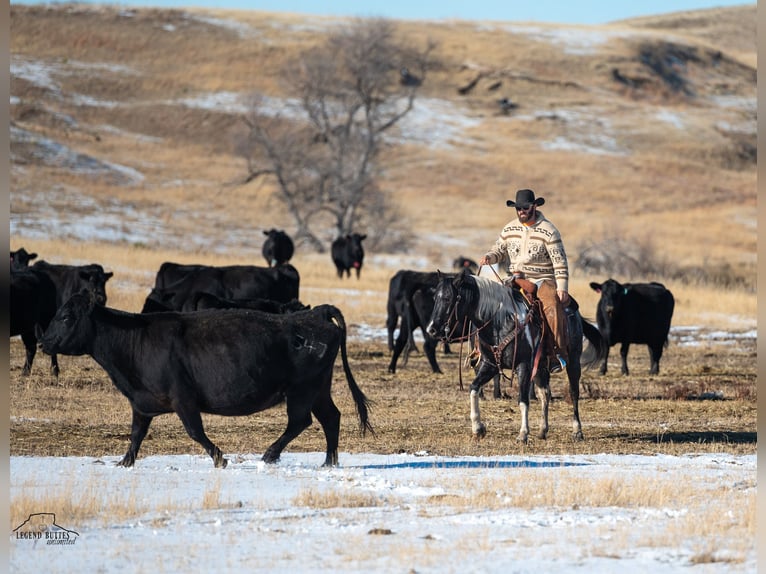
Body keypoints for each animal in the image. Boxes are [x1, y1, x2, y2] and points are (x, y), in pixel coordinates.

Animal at [39, 294, 376, 470]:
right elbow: (136, 435)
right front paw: (124, 462)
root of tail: (316, 313)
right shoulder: (142, 403)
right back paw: (329, 462)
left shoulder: (183, 399)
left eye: (66, 317)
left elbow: (194, 431)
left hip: (302, 390)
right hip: (318, 389)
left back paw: (270, 455)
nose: (43, 342)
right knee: (331, 418)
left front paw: (220, 458)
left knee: (301, 421)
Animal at [426, 272, 608, 444]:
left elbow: (523, 400)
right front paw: (478, 428)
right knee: (545, 393)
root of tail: (574, 311)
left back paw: (577, 431)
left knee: (573, 392)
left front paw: (523, 434)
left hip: (573, 362)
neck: (500, 322)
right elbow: (473, 388)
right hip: (541, 367)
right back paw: (543, 430)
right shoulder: (490, 365)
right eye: (435, 298)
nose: (431, 329)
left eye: (448, 298)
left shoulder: (523, 366)